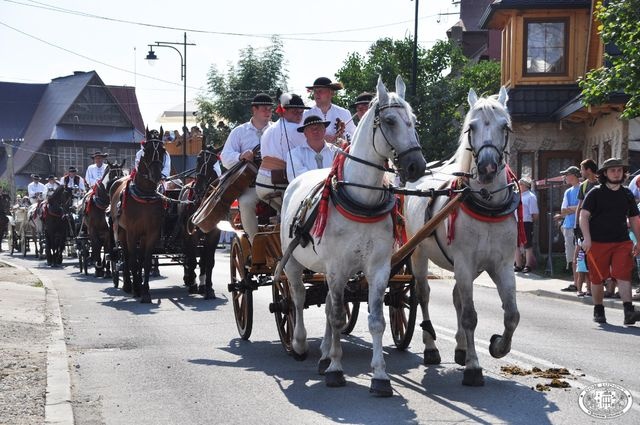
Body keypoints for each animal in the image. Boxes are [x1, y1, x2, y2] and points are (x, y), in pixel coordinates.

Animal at [110, 132, 166, 302]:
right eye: (146, 150)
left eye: (163, 150)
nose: (156, 175)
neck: (145, 195)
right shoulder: (131, 232)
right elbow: (133, 260)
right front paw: (136, 288)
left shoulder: (151, 233)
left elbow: (145, 261)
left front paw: (145, 291)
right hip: (121, 231)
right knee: (127, 256)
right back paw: (129, 285)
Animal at [179, 144, 221, 296]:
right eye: (197, 159)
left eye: (213, 162)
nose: (199, 188)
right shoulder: (192, 234)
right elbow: (191, 259)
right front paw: (193, 283)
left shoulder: (214, 234)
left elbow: (209, 261)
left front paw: (208, 287)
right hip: (185, 234)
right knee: (187, 255)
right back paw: (189, 279)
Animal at [278, 75, 424, 394]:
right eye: (390, 121)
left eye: (414, 121)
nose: (416, 166)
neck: (361, 199)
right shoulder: (336, 267)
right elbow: (333, 315)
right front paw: (335, 369)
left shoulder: (378, 268)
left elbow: (374, 320)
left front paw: (380, 375)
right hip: (293, 262)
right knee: (297, 297)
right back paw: (300, 344)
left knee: (330, 306)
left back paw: (323, 354)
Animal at [404, 88, 520, 386]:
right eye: (471, 127)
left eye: (505, 127)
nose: (488, 167)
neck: (487, 204)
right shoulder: (465, 263)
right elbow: (469, 316)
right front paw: (474, 367)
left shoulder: (502, 265)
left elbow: (511, 315)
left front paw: (497, 346)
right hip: (418, 254)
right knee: (423, 295)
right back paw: (431, 347)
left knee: (457, 297)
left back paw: (460, 348)